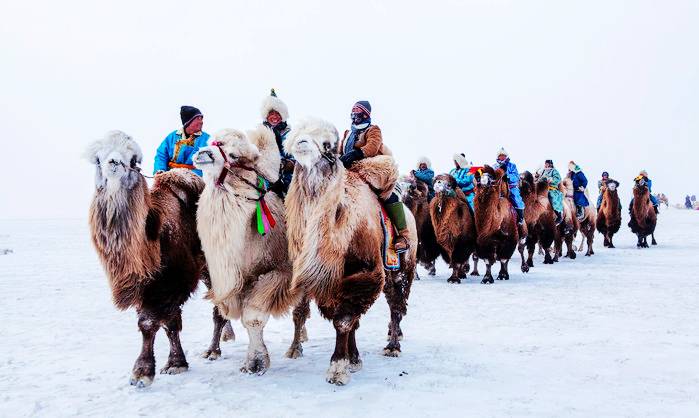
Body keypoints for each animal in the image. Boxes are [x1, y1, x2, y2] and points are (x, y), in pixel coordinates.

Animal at [86, 130, 231, 386]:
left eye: (133, 160)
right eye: (97, 159)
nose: (114, 162)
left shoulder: (171, 282)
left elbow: (150, 322)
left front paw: (143, 371)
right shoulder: (149, 284)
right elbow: (169, 324)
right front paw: (175, 363)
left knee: (219, 308)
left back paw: (213, 350)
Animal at [191, 125, 300, 374]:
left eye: (234, 156)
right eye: (212, 142)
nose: (202, 153)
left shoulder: (278, 273)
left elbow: (253, 318)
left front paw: (256, 362)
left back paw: (296, 348)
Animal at [284, 117, 416, 386]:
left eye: (327, 144)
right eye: (297, 134)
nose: (302, 142)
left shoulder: (366, 273)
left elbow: (344, 321)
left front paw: (338, 368)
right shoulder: (327, 278)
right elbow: (349, 321)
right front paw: (353, 360)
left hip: (403, 271)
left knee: (397, 305)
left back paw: (393, 346)